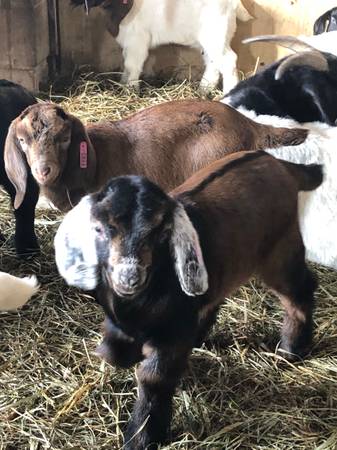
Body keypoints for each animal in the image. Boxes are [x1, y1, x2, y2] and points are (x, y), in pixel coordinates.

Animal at [73, 0, 252, 92]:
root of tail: (233, 4)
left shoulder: (137, 41)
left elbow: (132, 66)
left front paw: (130, 90)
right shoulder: (128, 43)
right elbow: (127, 65)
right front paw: (123, 83)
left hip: (216, 36)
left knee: (229, 61)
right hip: (212, 40)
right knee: (213, 63)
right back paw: (204, 89)